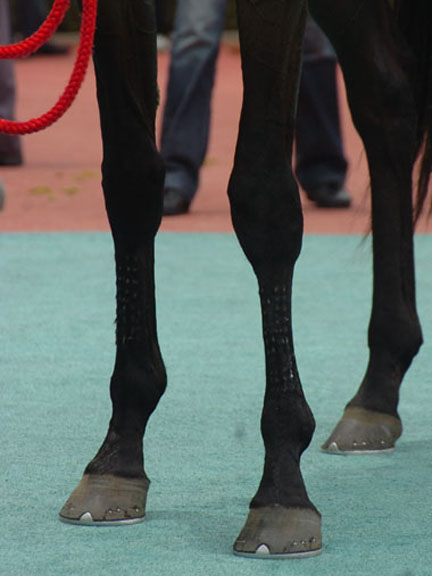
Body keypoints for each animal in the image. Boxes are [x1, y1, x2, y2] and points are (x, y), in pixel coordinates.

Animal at [58, 0, 432, 558]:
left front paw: (282, 489)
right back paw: (377, 389)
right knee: (385, 107)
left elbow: (264, 197)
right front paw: (118, 455)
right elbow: (131, 179)